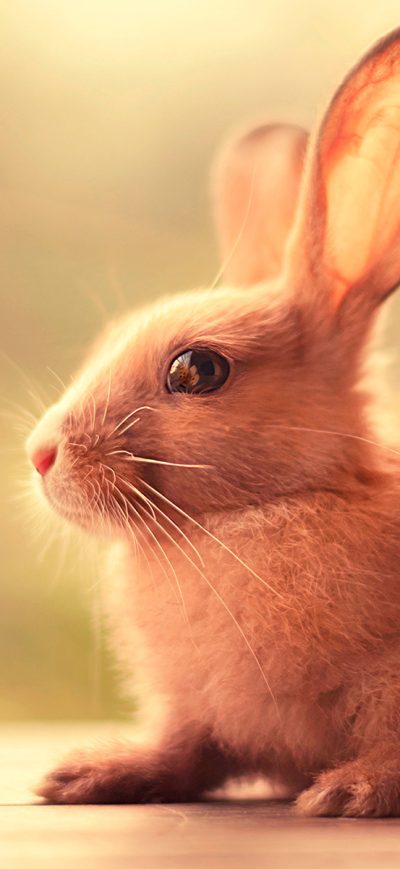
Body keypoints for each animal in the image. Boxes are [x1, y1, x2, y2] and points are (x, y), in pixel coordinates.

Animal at [26, 28, 400, 816]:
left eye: (197, 371)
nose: (41, 454)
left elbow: (393, 750)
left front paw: (347, 792)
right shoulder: (194, 711)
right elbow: (183, 751)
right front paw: (85, 774)